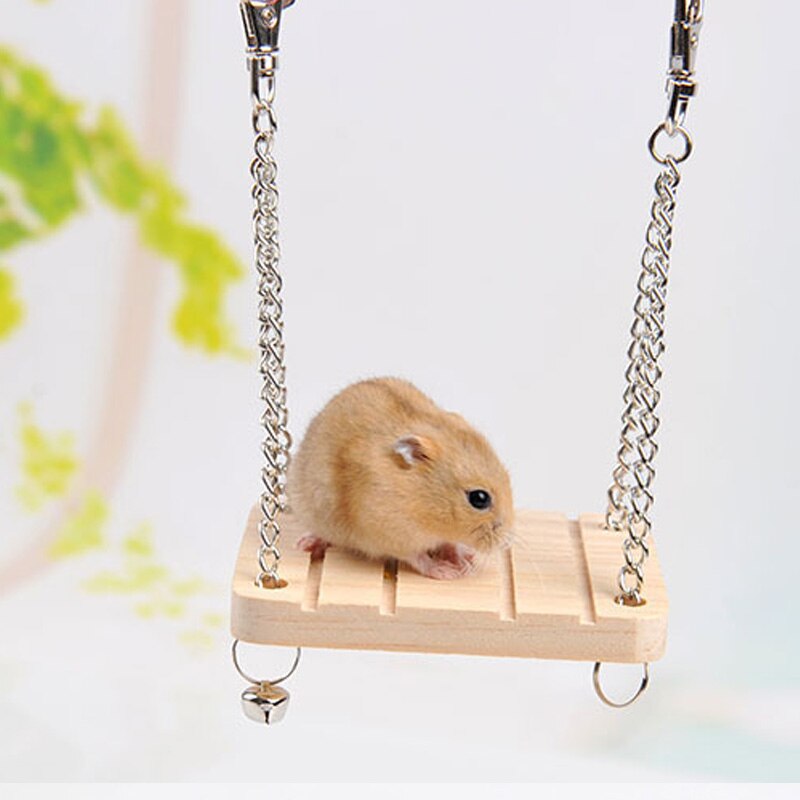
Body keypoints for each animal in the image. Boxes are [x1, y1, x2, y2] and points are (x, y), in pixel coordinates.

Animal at [289, 377, 514, 579]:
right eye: (479, 498)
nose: (507, 542)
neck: (423, 503)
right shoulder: (391, 534)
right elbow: (418, 557)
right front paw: (448, 572)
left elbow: (449, 543)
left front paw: (464, 564)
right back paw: (306, 543)